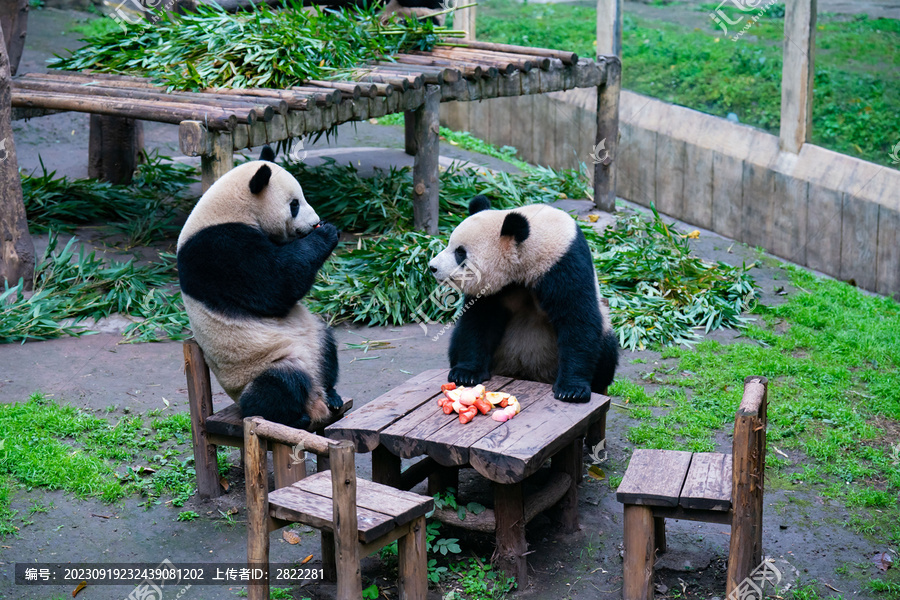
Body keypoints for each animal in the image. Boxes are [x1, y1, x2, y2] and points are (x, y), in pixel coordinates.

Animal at [177, 149, 344, 432]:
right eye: (294, 204)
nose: (314, 223)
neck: (231, 208)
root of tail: (316, 398)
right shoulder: (219, 248)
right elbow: (275, 284)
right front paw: (327, 233)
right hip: (261, 363)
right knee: (279, 385)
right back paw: (291, 416)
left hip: (313, 336)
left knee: (327, 345)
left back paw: (332, 395)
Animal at [428, 197, 620, 404]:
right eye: (450, 245)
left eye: (460, 253)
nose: (432, 267)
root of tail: (528, 372)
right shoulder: (496, 288)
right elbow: (479, 321)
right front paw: (466, 373)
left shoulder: (564, 262)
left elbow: (576, 318)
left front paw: (571, 389)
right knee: (457, 339)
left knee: (606, 350)